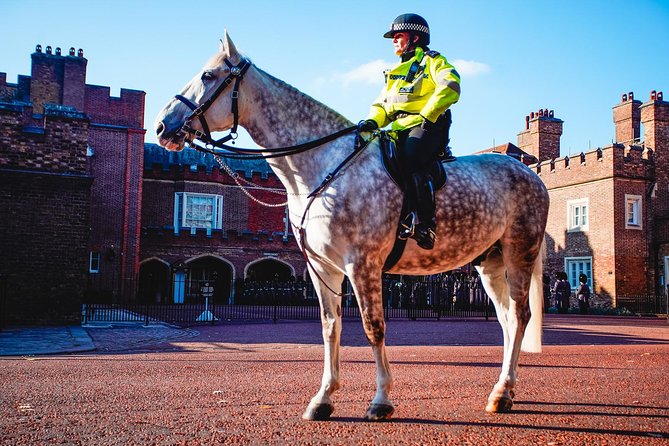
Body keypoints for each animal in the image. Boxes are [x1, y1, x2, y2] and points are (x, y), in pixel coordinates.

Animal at [155, 32, 549, 421]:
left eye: (208, 76)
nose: (162, 125)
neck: (324, 166)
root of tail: (532, 173)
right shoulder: (322, 267)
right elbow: (331, 327)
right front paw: (323, 398)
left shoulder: (362, 265)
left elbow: (373, 327)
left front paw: (381, 399)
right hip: (490, 263)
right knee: (507, 320)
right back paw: (502, 389)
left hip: (519, 253)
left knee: (520, 315)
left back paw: (503, 391)